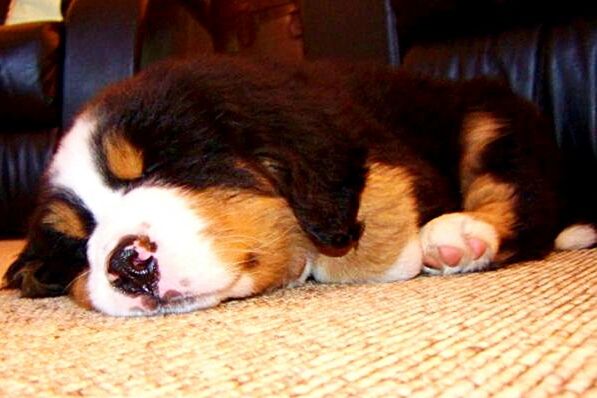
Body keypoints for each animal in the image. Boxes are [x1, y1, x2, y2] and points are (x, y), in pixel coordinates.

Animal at [2, 56, 592, 318]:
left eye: (155, 168)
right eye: (78, 240)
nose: (127, 264)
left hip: (488, 117)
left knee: (520, 196)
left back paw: (459, 237)